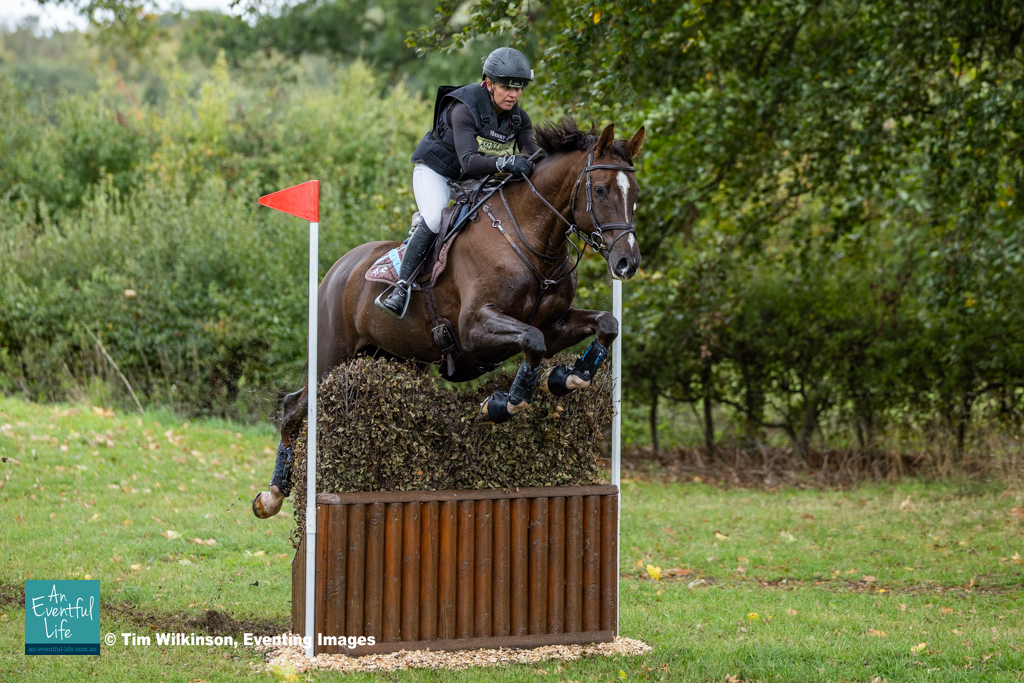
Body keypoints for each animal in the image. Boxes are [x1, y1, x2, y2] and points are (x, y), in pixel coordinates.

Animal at [252, 119, 645, 518]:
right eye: (601, 189)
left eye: (635, 193)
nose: (627, 263)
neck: (531, 241)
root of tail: (337, 270)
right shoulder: (474, 330)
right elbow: (531, 341)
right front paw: (504, 403)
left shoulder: (554, 325)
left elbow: (604, 324)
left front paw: (566, 378)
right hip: (332, 356)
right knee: (295, 407)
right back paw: (272, 495)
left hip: (391, 356)